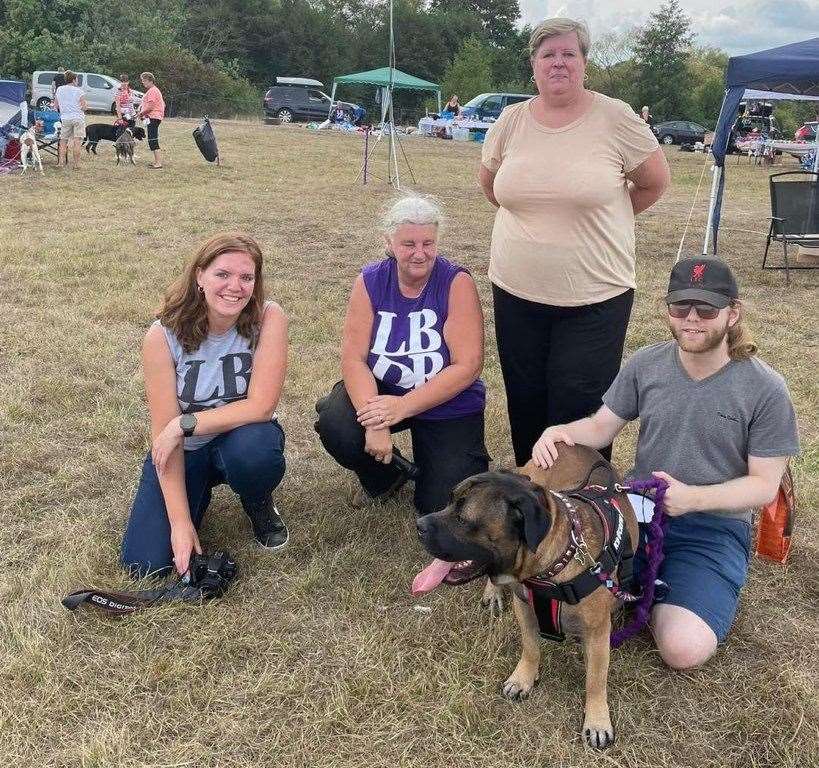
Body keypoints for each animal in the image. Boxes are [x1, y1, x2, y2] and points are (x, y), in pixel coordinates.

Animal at [416, 444, 640, 752]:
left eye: (462, 519)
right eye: (449, 502)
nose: (419, 525)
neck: (551, 567)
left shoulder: (597, 633)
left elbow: (596, 679)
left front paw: (596, 720)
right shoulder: (525, 607)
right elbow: (531, 647)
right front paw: (523, 678)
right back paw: (493, 592)